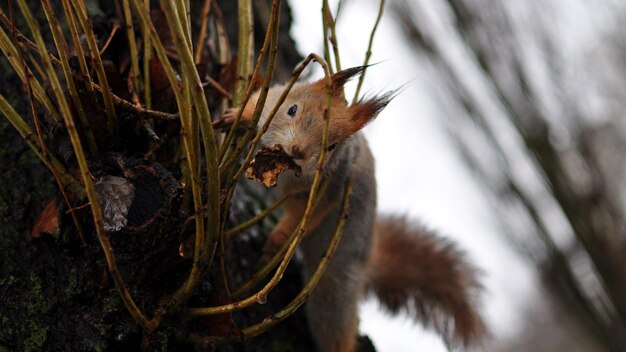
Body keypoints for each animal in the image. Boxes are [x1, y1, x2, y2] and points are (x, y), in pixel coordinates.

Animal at [217, 66, 486, 352]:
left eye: (332, 146)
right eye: (292, 109)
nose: (298, 150)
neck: (288, 171)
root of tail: (368, 263)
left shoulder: (329, 191)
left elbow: (300, 219)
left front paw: (276, 241)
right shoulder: (274, 98)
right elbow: (259, 101)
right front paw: (235, 115)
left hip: (335, 290)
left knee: (336, 329)